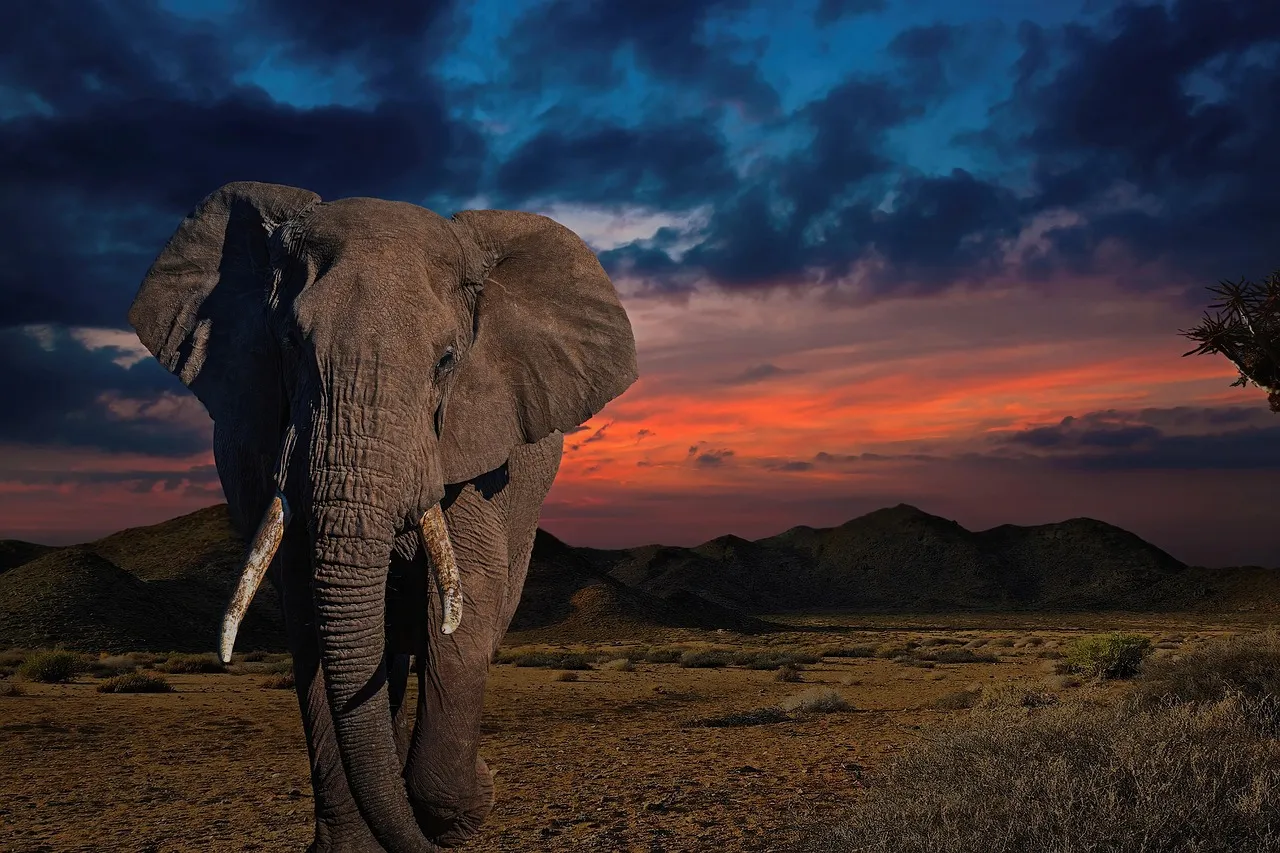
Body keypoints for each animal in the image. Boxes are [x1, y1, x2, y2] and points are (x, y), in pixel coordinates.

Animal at [127, 182, 638, 852]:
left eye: (447, 360)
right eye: (290, 345)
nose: (490, 779)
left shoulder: (470, 445)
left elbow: (467, 600)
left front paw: (462, 810)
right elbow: (312, 613)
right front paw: (359, 841)